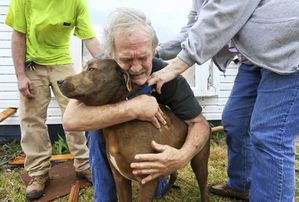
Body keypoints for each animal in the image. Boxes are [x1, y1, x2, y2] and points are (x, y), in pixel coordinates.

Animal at [57, 58, 210, 202]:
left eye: (92, 69)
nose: (59, 80)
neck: (117, 128)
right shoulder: (120, 178)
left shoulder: (147, 180)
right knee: (174, 172)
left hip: (199, 161)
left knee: (203, 185)